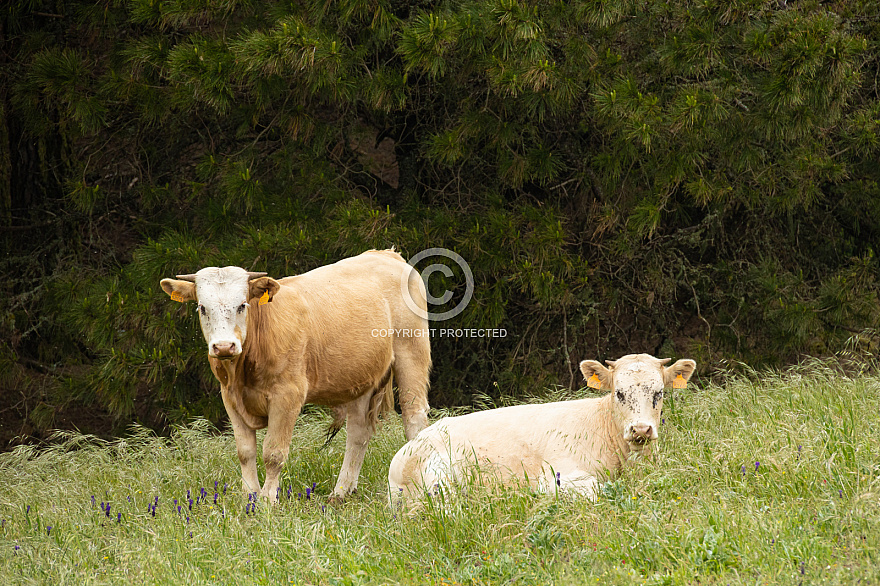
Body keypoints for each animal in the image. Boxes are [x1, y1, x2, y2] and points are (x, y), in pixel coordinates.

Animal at [162, 249, 434, 500]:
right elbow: (245, 452)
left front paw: (267, 500)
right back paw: (340, 492)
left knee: (414, 420)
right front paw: (249, 496)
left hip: (411, 353)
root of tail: (386, 254)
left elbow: (273, 453)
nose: (224, 346)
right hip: (361, 377)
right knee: (358, 432)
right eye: (202, 308)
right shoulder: (229, 397)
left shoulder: (287, 395)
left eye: (242, 305)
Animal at [388, 350, 692, 504]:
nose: (640, 430)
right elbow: (594, 487)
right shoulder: (556, 473)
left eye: (659, 393)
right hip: (436, 477)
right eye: (619, 393)